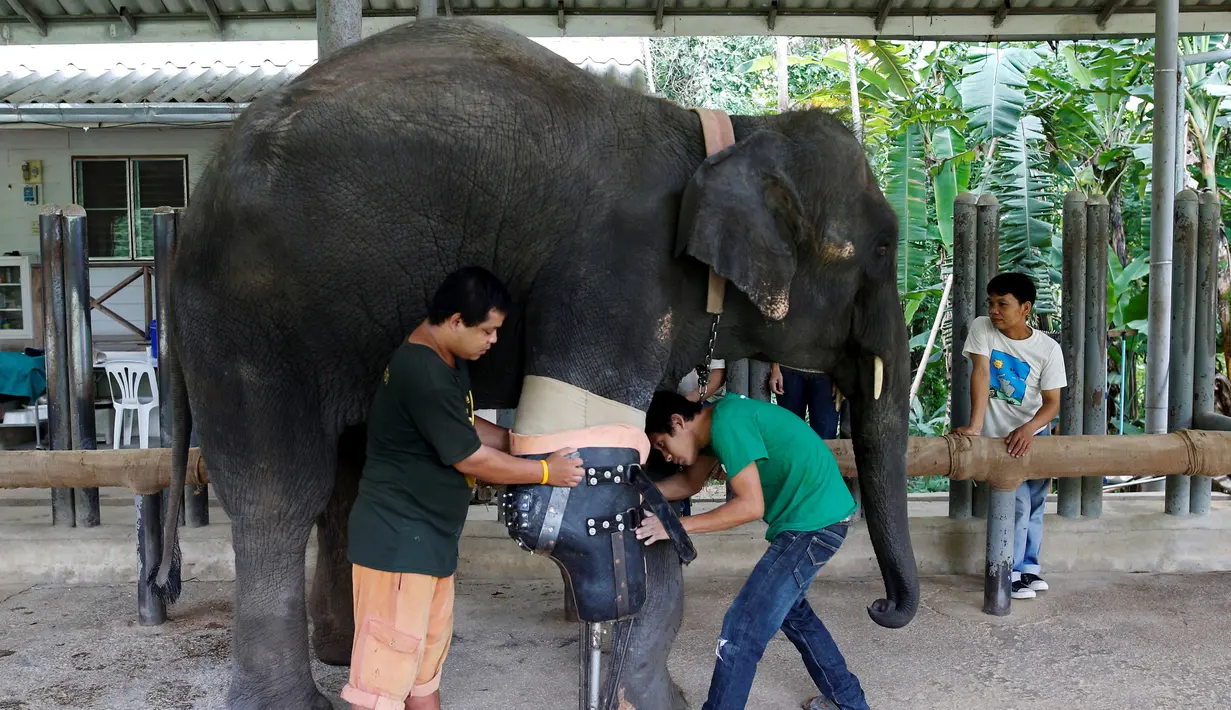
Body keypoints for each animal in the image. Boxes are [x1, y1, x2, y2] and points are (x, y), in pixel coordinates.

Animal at [151, 16, 919, 710]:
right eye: (883, 246)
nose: (884, 610)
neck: (724, 133)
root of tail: (189, 214)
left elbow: (637, 478)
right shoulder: (614, 274)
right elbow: (589, 494)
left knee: (346, 476)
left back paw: (342, 654)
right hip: (252, 321)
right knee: (280, 491)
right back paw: (296, 698)